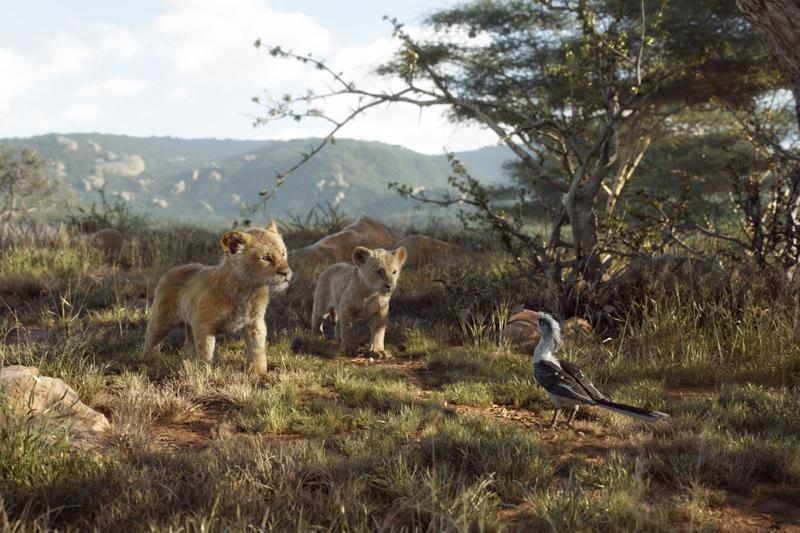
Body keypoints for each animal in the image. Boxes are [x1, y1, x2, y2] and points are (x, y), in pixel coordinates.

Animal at [142, 221, 291, 374]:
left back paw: (187, 361)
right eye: (265, 258)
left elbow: (257, 349)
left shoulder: (255, 323)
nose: (286, 273)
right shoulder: (203, 325)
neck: (248, 290)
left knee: (188, 344)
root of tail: (171, 271)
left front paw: (259, 373)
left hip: (189, 322)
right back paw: (149, 361)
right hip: (163, 318)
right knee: (151, 337)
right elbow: (206, 352)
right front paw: (204, 372)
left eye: (283, 253)